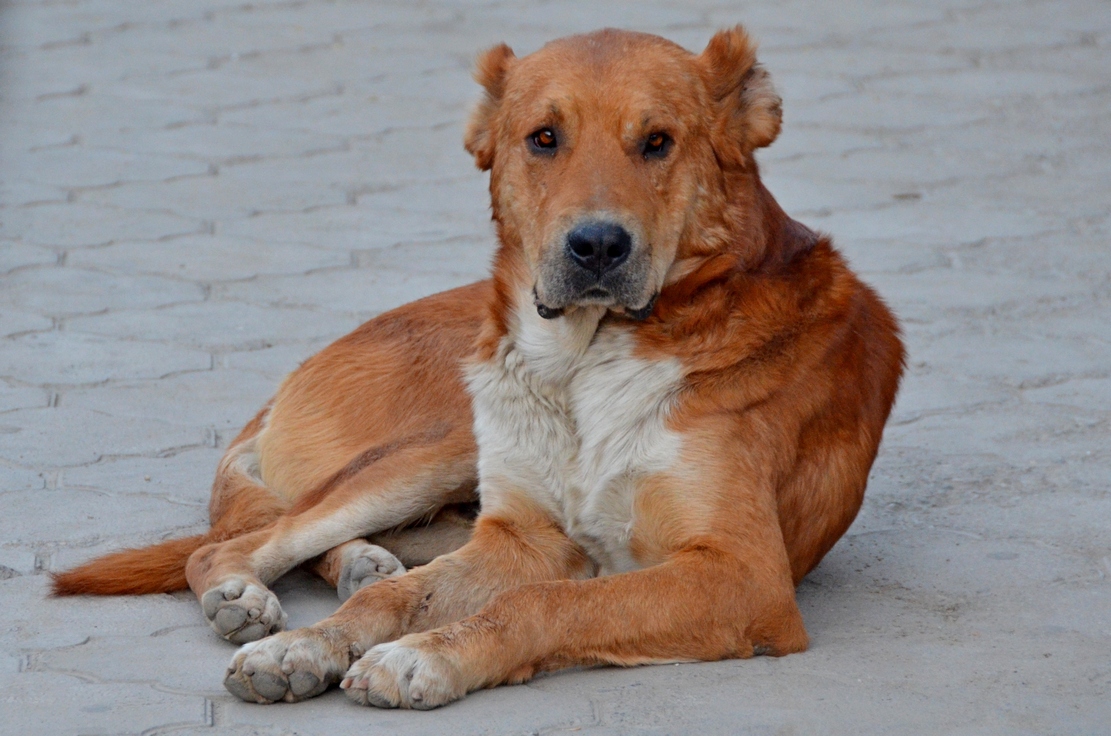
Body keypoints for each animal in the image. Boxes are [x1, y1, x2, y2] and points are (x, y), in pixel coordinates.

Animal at [53, 26, 904, 709]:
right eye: (543, 138)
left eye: (658, 141)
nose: (597, 246)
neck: (584, 368)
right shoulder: (524, 537)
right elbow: (403, 600)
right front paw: (307, 645)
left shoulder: (742, 574)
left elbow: (544, 605)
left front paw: (421, 658)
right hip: (442, 442)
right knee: (234, 542)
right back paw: (259, 589)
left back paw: (357, 562)